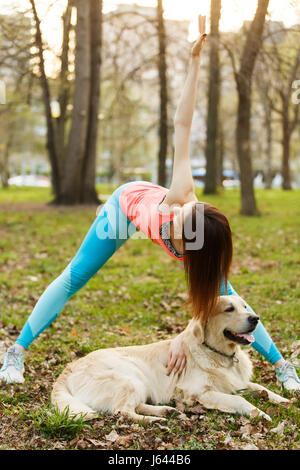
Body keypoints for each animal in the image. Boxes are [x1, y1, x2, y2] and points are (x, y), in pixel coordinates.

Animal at [51, 294, 288, 422]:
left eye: (244, 306)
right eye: (229, 309)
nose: (255, 318)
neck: (219, 354)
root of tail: (70, 366)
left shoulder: (235, 383)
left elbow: (260, 387)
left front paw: (282, 400)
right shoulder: (199, 392)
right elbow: (240, 400)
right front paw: (260, 414)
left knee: (134, 406)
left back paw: (167, 411)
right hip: (129, 378)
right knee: (123, 411)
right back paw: (154, 421)